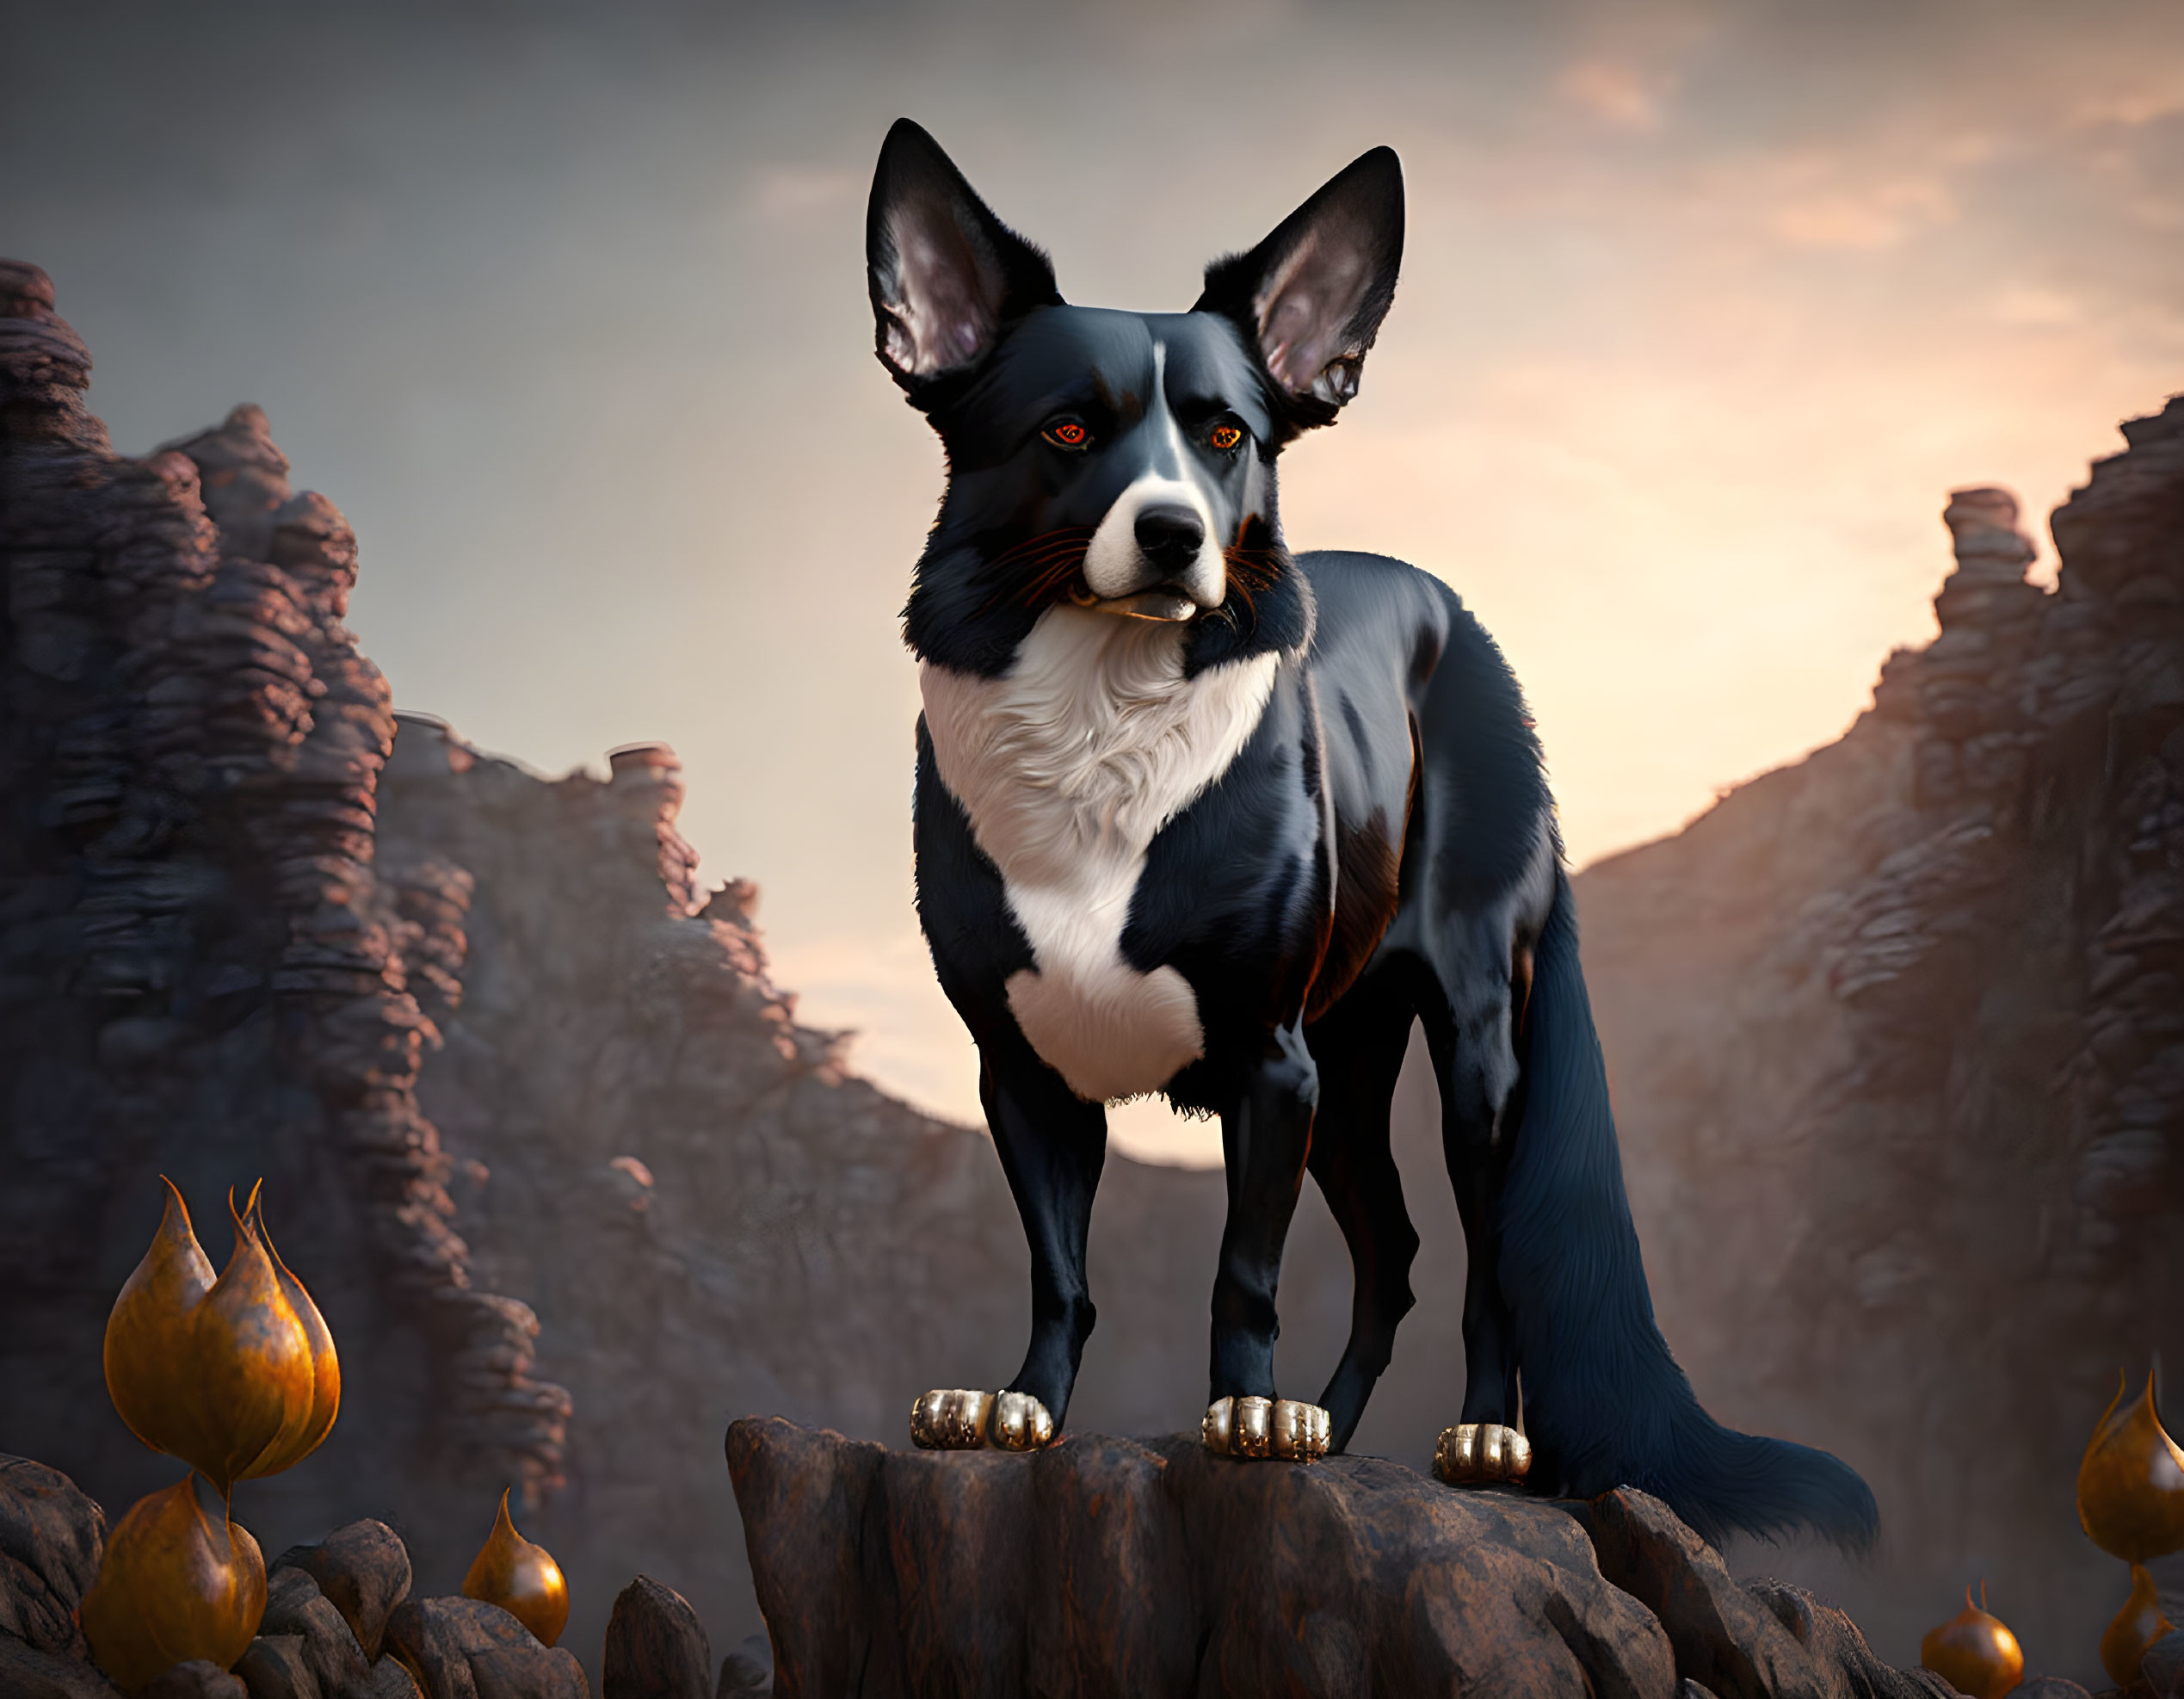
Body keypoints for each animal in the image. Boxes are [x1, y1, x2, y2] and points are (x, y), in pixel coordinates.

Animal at [869, 115, 1878, 1546]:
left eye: (1225, 434)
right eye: (1065, 428)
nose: (1174, 533)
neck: (1097, 723)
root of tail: (1462, 621)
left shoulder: (1263, 1064)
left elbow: (1242, 1267)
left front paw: (1240, 1415)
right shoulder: (1023, 1071)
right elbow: (1059, 1264)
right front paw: (1024, 1406)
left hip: (1467, 1048)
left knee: (1484, 1252)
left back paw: (1479, 1436)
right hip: (1346, 1069)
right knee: (1393, 1252)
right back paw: (1328, 1427)